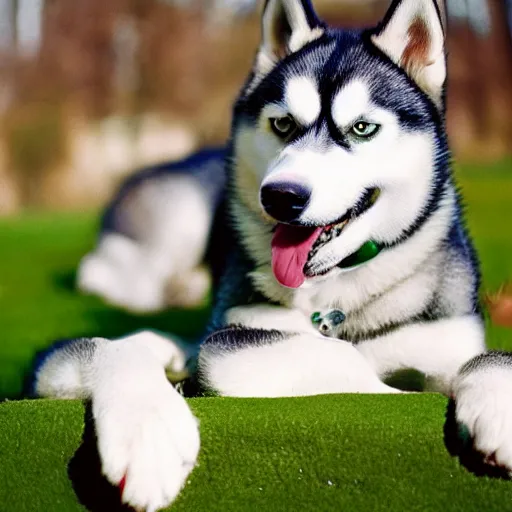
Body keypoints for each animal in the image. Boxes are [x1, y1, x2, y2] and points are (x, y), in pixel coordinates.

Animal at [33, 0, 512, 510]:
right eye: (283, 124)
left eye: (362, 128)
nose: (281, 196)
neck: (332, 296)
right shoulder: (227, 337)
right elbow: (336, 360)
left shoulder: (446, 340)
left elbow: (483, 359)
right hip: (183, 215)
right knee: (107, 268)